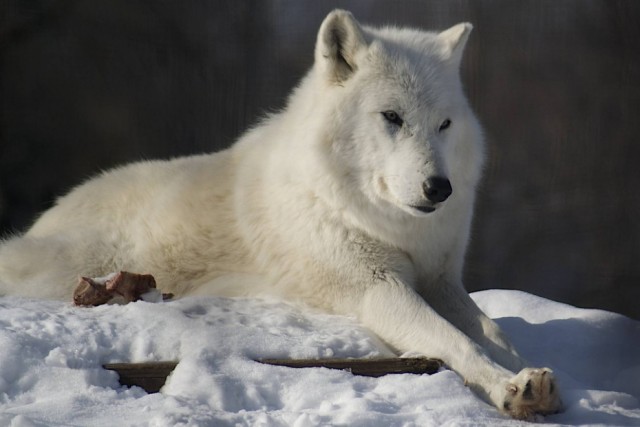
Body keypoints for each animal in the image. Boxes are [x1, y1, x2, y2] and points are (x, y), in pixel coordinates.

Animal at [0, 10, 560, 422]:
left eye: (444, 124)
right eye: (392, 117)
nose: (438, 188)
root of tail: (42, 223)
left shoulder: (441, 280)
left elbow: (495, 334)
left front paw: (541, 380)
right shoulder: (375, 286)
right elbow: (456, 342)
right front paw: (509, 388)